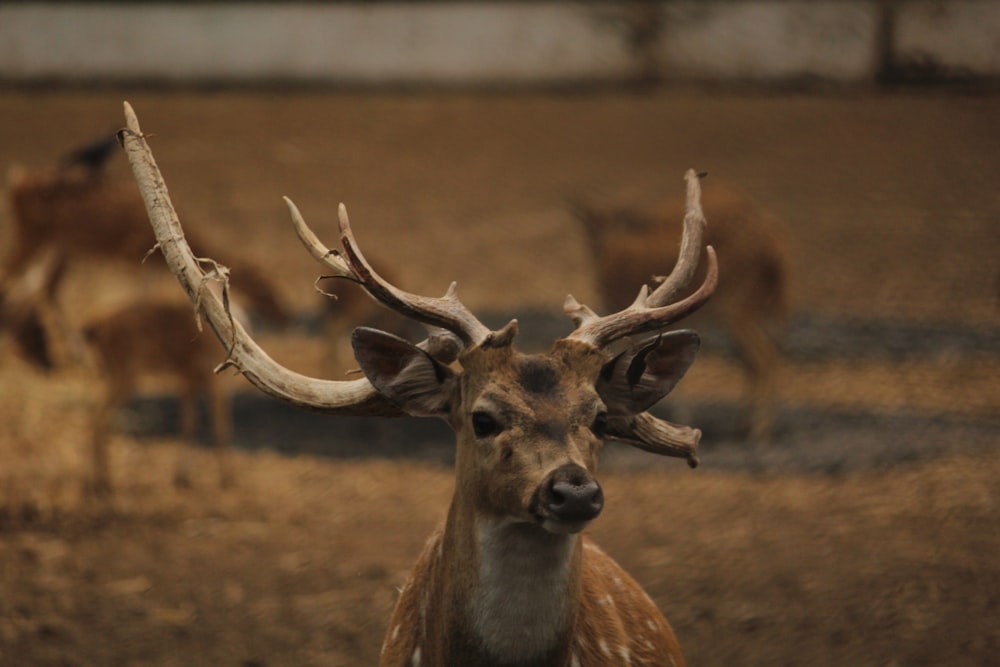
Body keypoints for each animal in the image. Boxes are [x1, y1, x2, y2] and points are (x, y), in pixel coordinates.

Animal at [572, 183, 788, 444]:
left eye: (605, 223)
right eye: (587, 227)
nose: (596, 245)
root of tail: (775, 257)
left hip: (739, 308)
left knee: (765, 358)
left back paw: (760, 432)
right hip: (755, 309)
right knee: (759, 359)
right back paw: (745, 426)